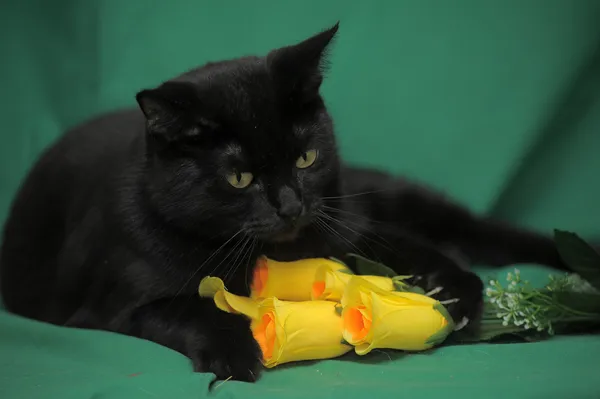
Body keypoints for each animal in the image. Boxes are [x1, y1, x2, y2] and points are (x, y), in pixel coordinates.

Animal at [0, 25, 564, 382]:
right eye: (239, 177)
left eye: (305, 157)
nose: (291, 206)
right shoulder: (117, 304)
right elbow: (190, 307)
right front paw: (236, 352)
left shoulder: (347, 226)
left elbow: (403, 246)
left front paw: (455, 294)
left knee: (476, 232)